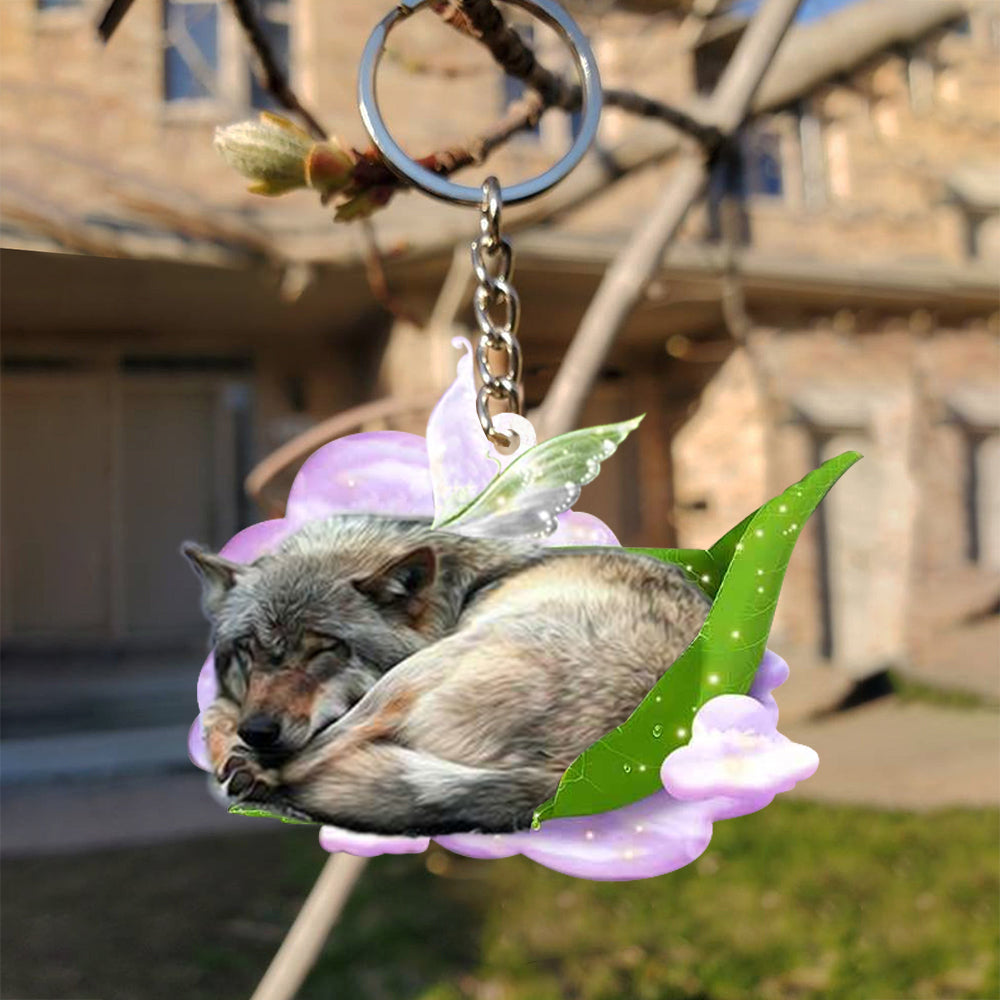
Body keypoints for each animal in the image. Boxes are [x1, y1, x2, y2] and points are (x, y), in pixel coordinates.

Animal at [185, 513, 710, 835]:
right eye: (248, 649)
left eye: (325, 648)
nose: (258, 731)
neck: (453, 595)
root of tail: (572, 768)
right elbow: (214, 711)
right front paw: (225, 740)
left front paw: (240, 760)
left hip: (416, 673)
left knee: (313, 756)